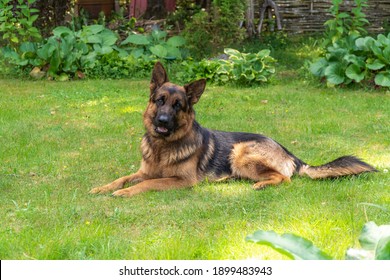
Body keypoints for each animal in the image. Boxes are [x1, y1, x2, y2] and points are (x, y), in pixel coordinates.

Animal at [90, 61, 376, 197]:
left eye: (178, 105)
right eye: (159, 101)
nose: (161, 121)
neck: (163, 148)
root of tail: (290, 154)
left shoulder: (181, 181)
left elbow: (147, 184)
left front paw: (124, 193)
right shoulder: (143, 171)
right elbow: (122, 177)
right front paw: (103, 187)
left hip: (240, 152)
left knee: (284, 178)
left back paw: (261, 185)